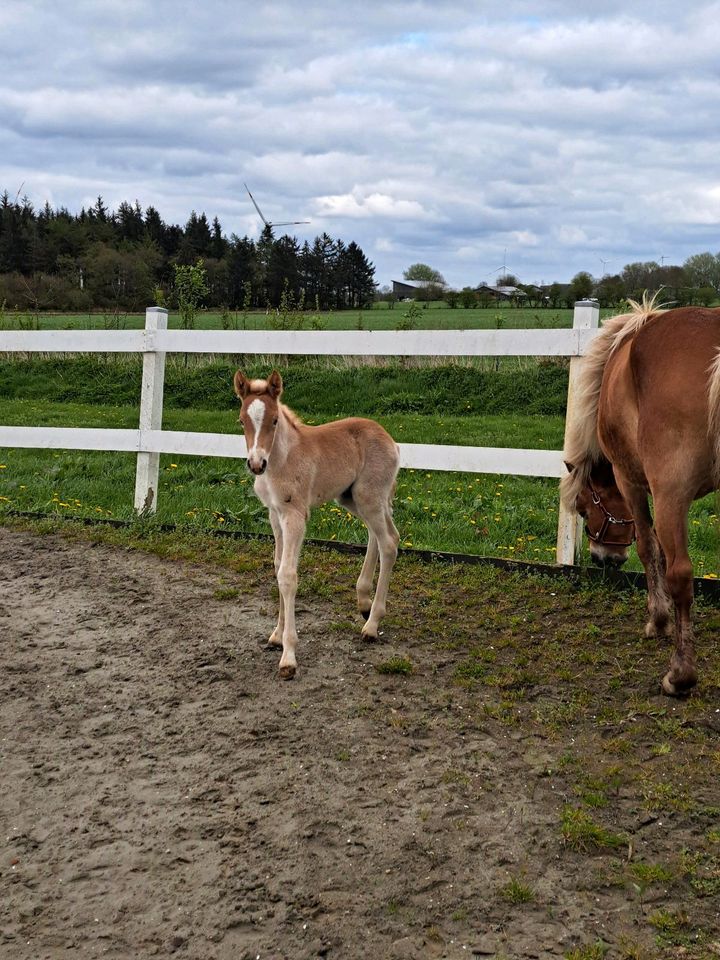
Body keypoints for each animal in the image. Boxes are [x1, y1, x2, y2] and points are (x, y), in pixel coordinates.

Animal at [233, 372, 400, 680]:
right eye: (241, 420)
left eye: (275, 420)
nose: (256, 464)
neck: (281, 460)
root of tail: (390, 439)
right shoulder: (274, 514)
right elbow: (277, 566)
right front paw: (276, 635)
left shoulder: (295, 515)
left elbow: (288, 574)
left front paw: (288, 656)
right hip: (353, 498)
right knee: (379, 532)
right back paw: (363, 601)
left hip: (368, 496)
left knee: (389, 543)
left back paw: (371, 624)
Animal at [564, 296, 720, 692]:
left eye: (584, 509)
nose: (602, 559)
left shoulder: (632, 482)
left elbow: (651, 551)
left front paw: (659, 620)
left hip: (668, 493)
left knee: (680, 573)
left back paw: (680, 673)